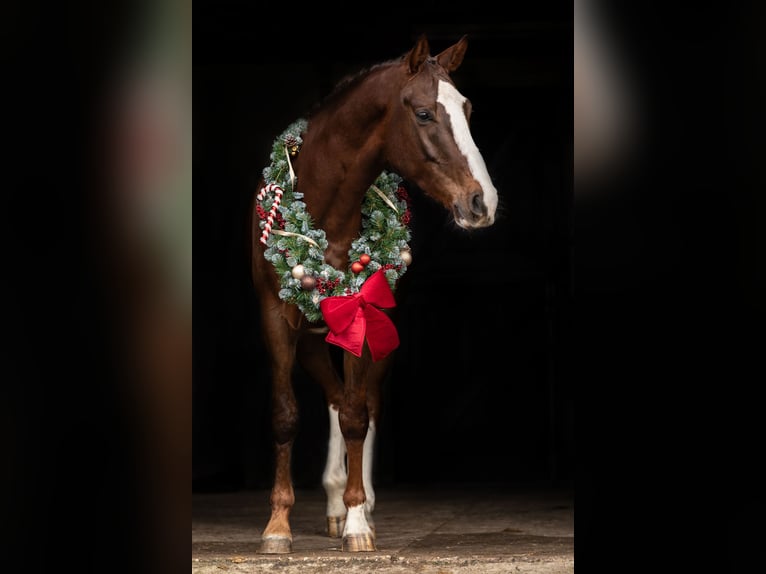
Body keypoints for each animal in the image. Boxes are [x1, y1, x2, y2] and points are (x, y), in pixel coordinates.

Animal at [249, 33, 500, 556]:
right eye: (424, 113)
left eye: (466, 109)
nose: (481, 202)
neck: (322, 208)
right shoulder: (275, 317)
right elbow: (287, 415)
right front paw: (278, 526)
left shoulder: (362, 317)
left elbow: (356, 418)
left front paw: (357, 522)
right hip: (311, 339)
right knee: (333, 396)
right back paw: (331, 502)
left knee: (362, 404)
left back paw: (356, 505)